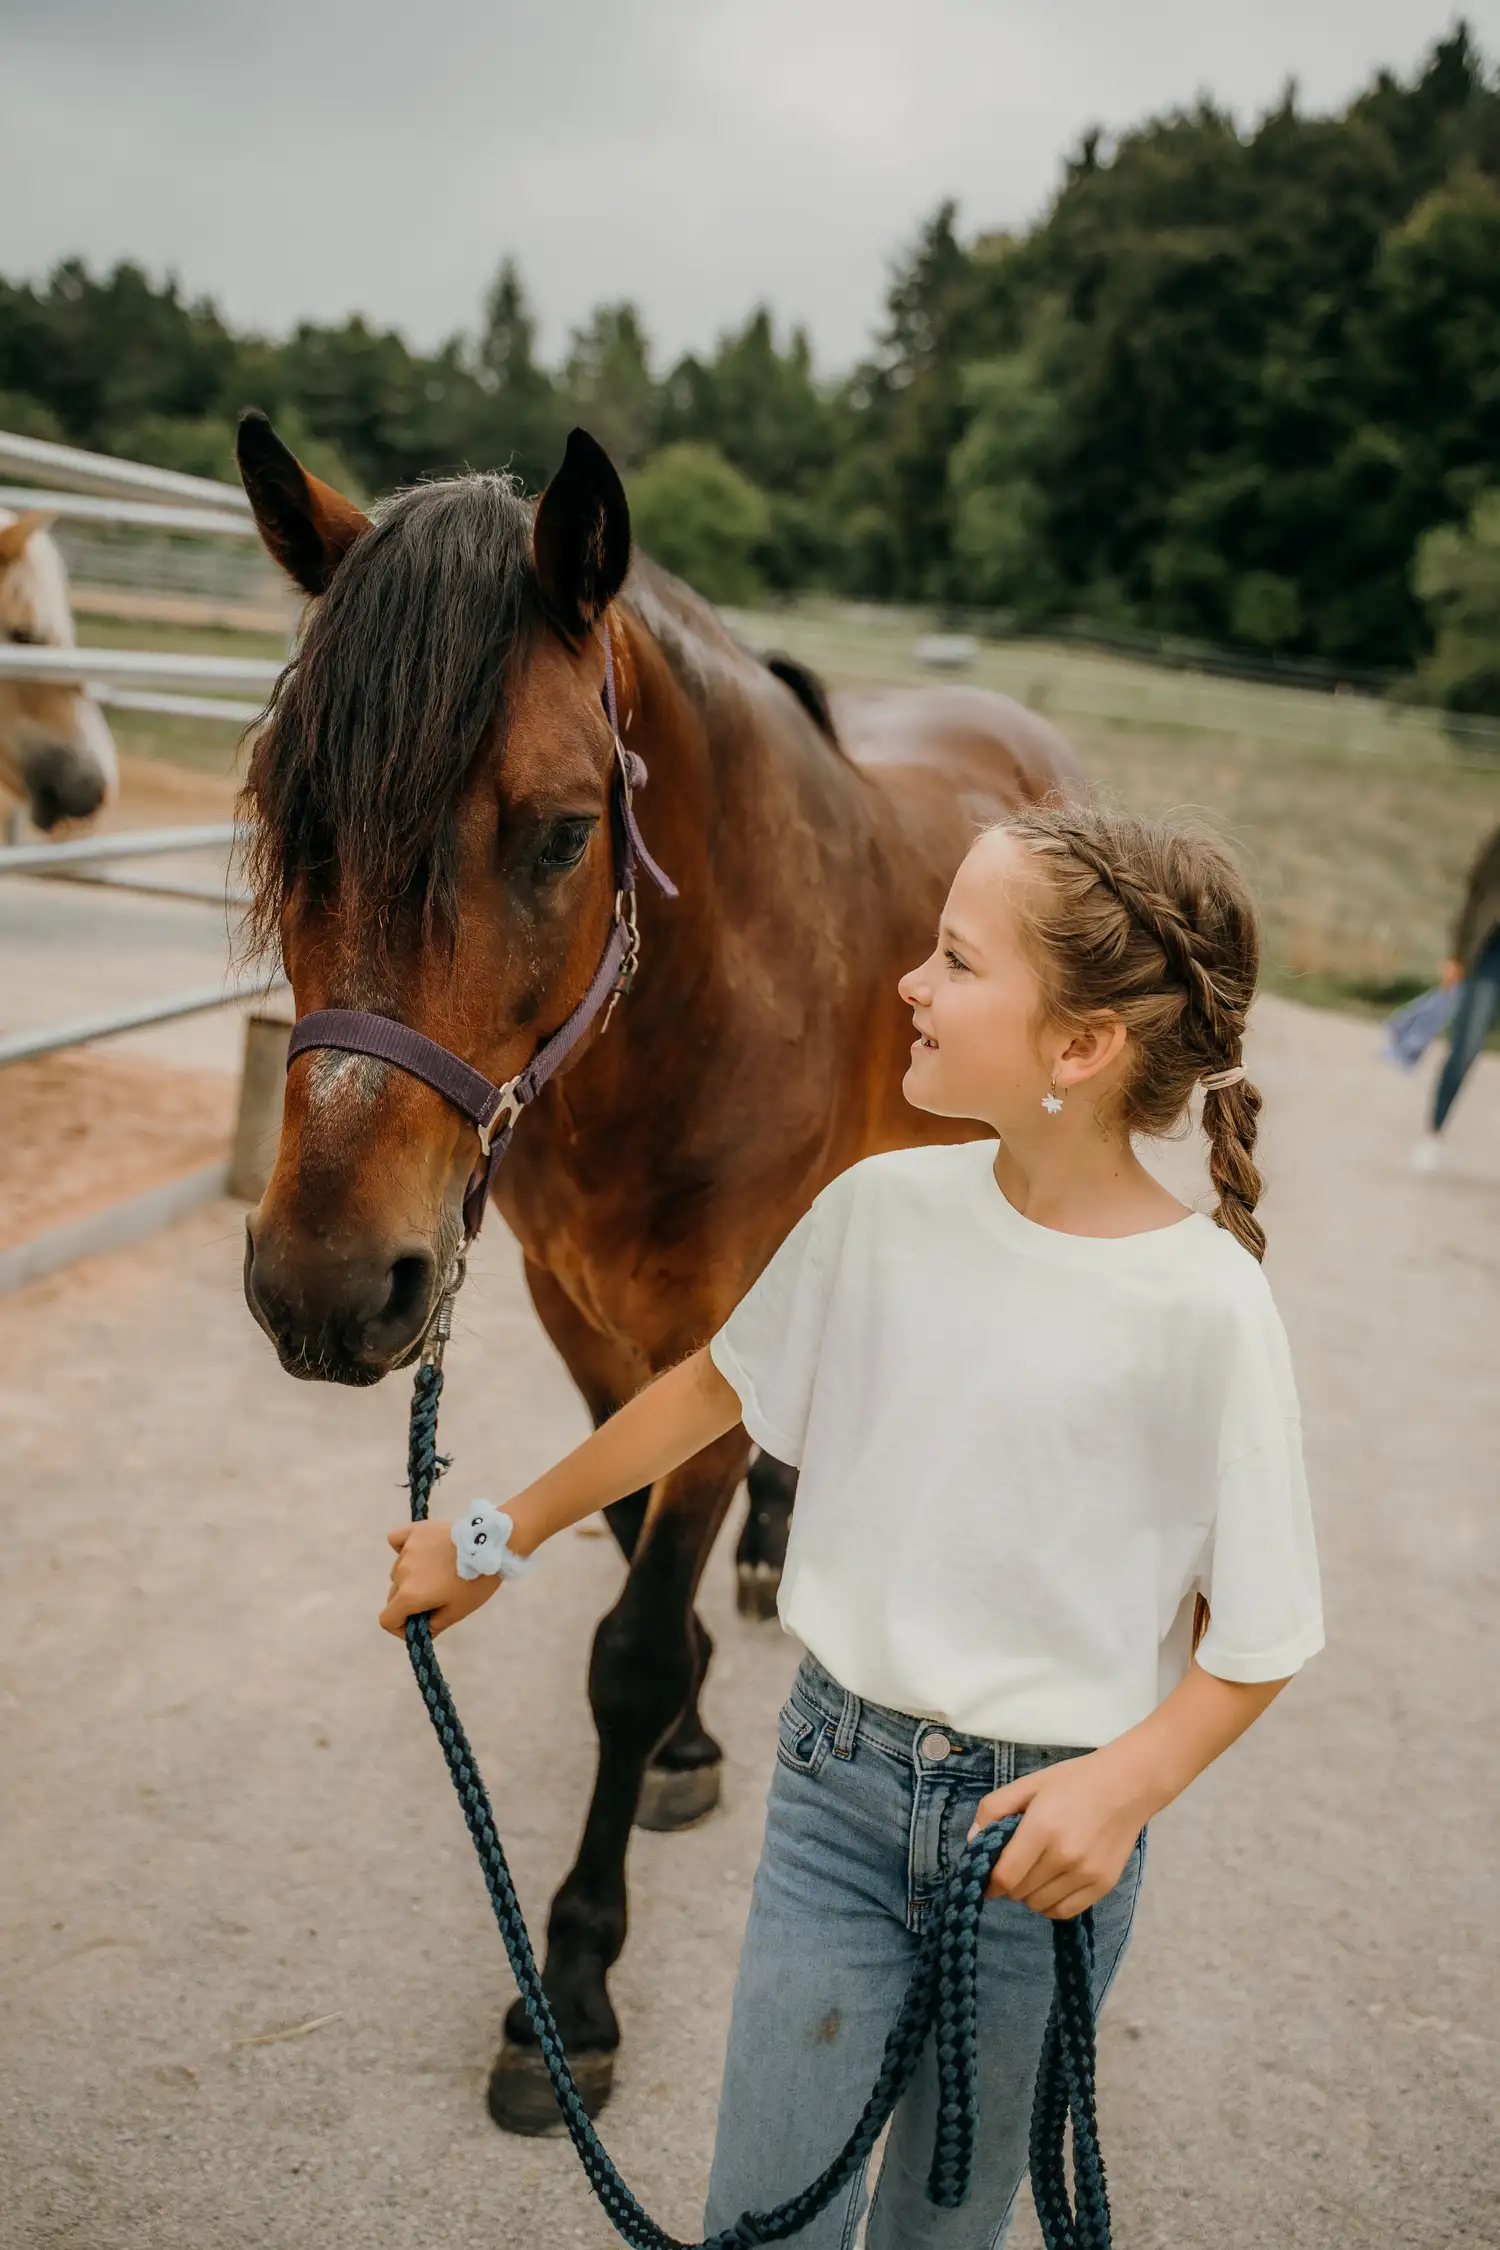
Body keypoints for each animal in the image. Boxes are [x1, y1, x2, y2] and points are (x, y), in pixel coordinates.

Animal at [234, 411, 1083, 2134]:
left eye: (564, 832)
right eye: (292, 808)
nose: (324, 1285)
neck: (695, 1017)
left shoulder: (721, 1326)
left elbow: (621, 1648)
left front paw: (569, 1980)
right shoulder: (581, 1317)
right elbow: (629, 1534)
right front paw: (694, 1721)